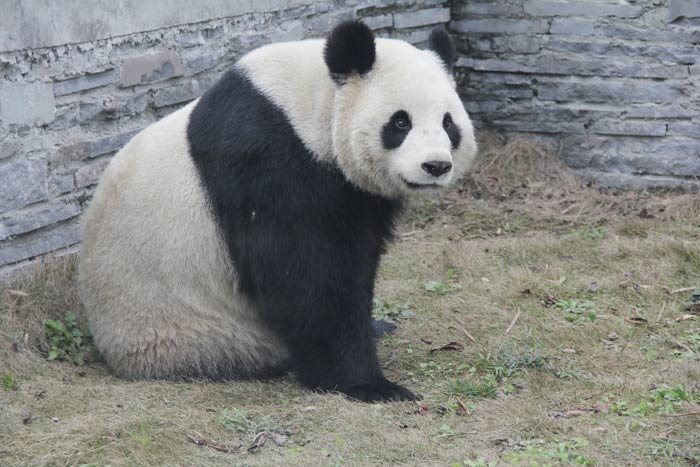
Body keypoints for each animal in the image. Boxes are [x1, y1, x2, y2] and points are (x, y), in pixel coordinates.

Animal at [79, 21, 476, 403]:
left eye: (448, 122)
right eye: (400, 122)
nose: (435, 166)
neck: (310, 105)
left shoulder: (356, 195)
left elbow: (357, 259)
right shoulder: (269, 164)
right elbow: (306, 278)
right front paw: (369, 385)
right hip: (198, 332)